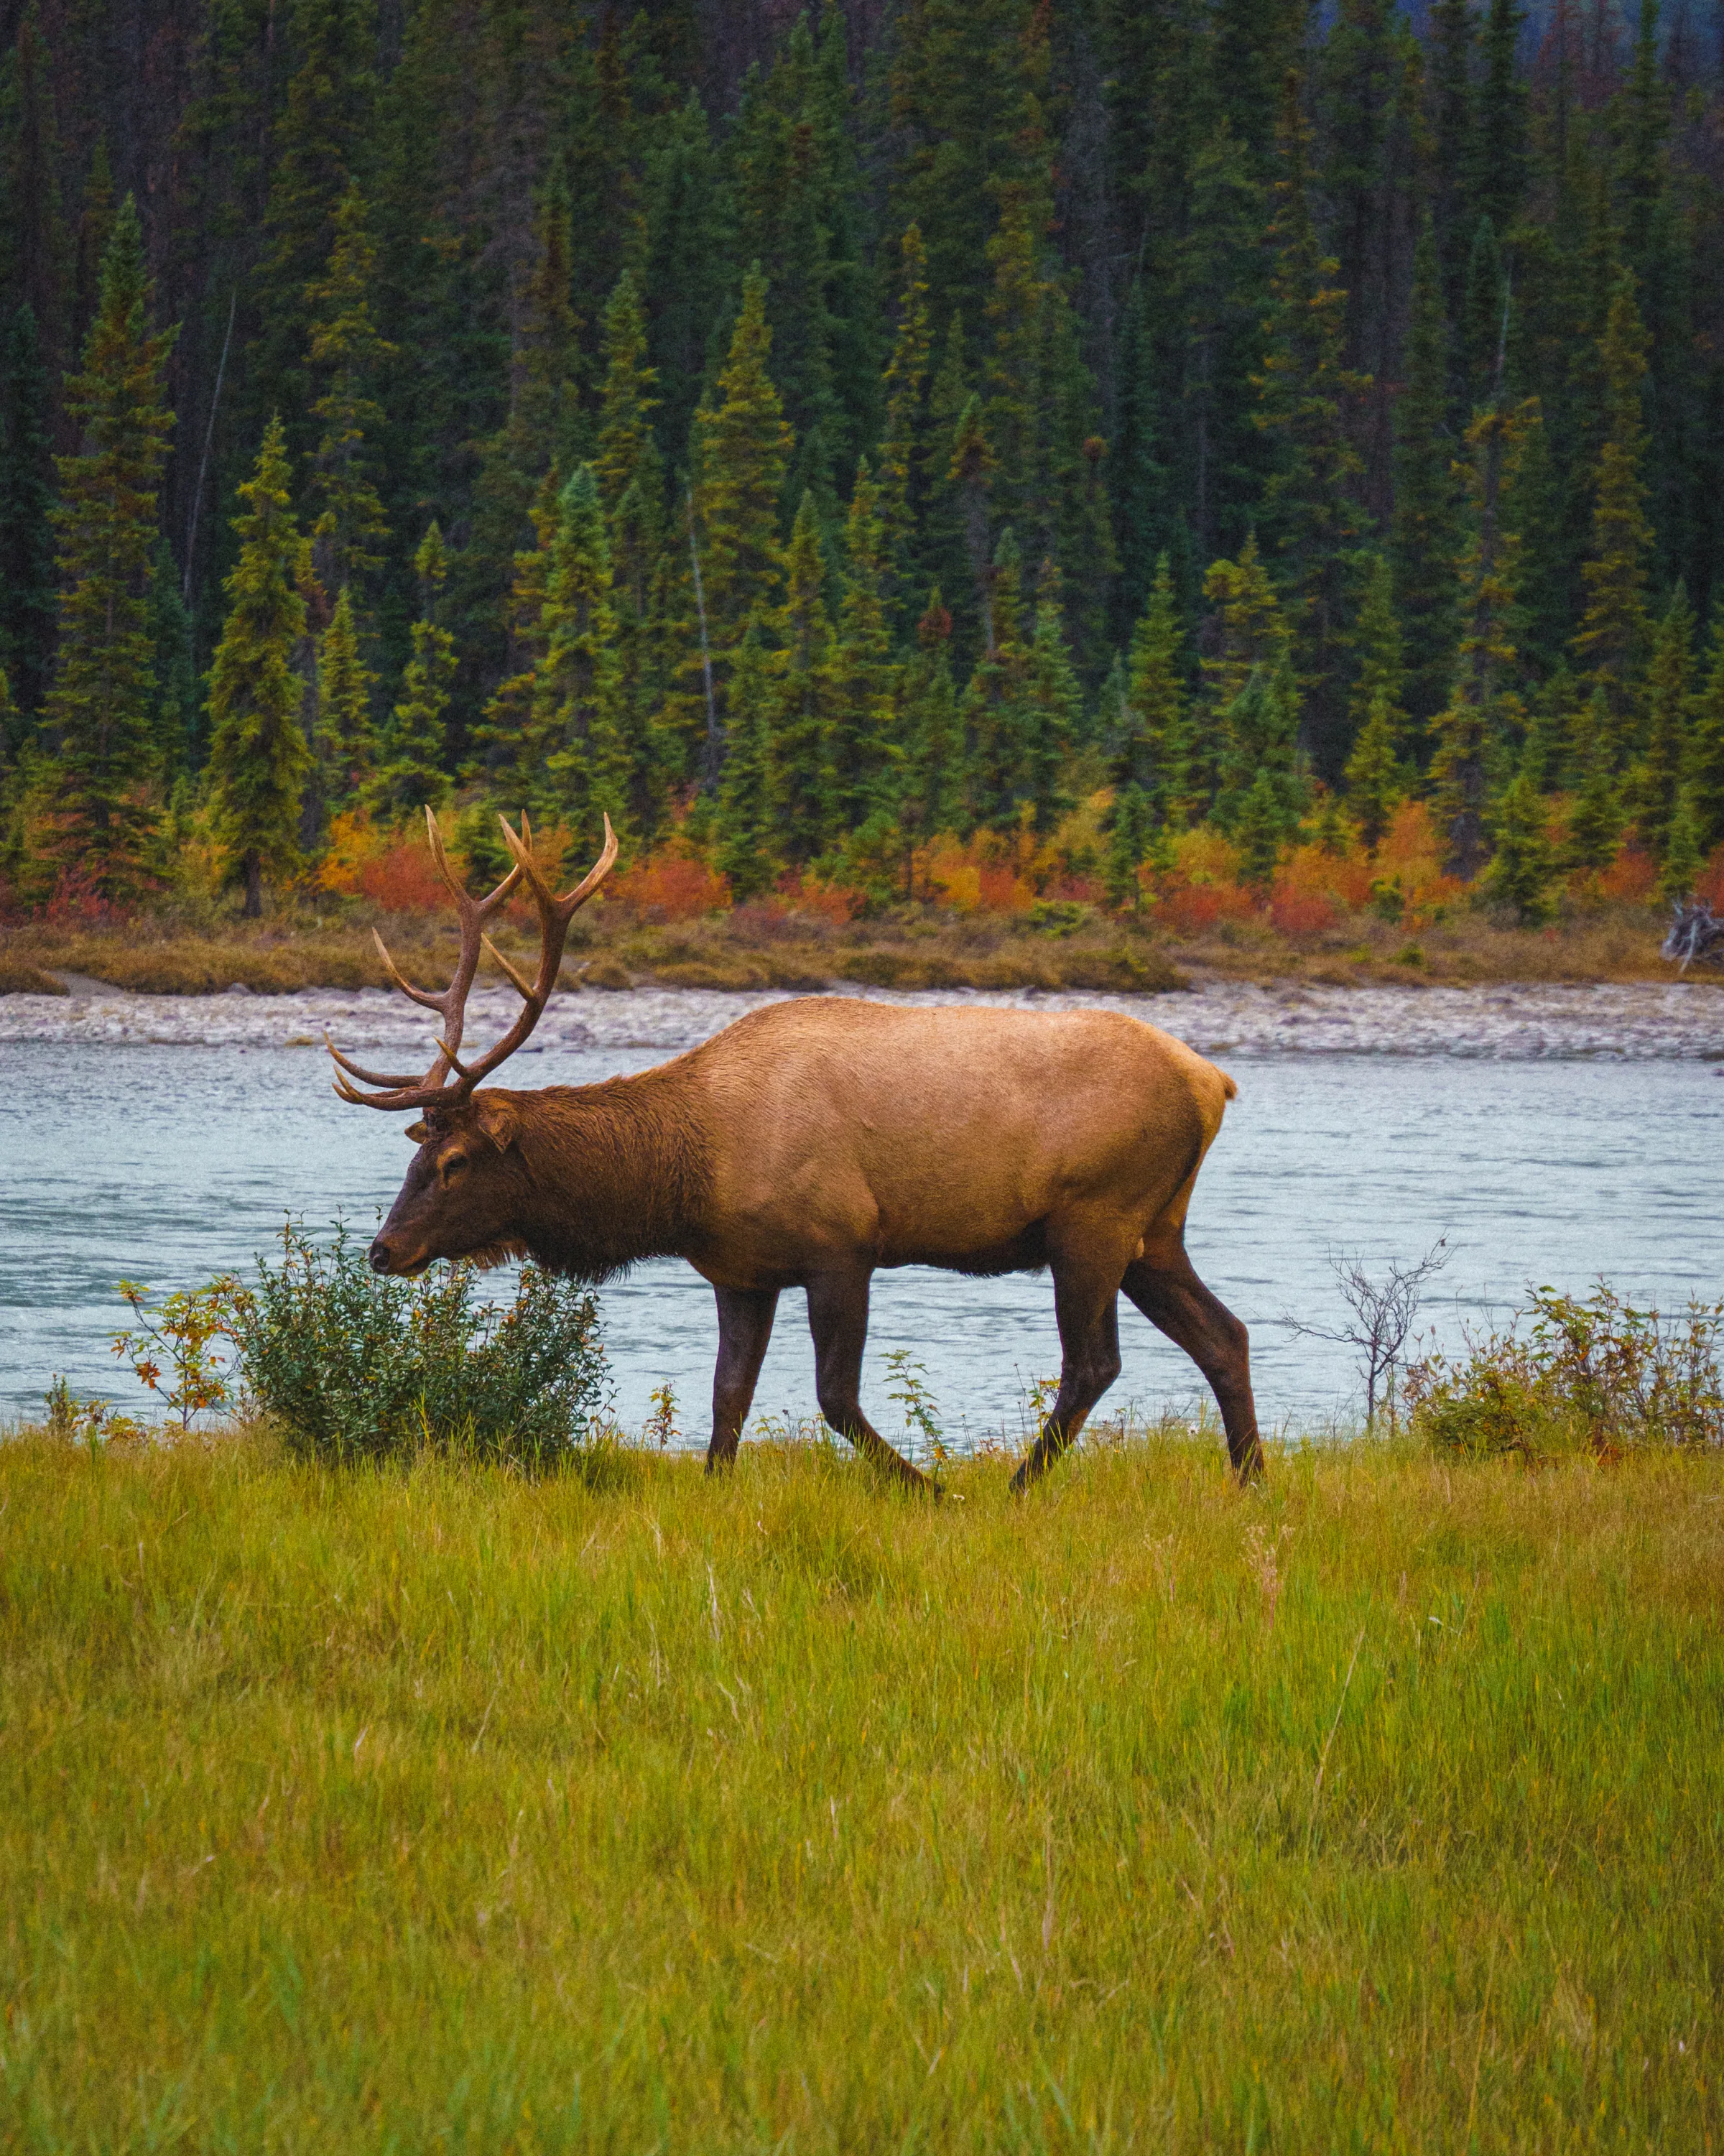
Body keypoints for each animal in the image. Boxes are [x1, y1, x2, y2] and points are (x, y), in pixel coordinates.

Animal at [329, 810, 1263, 1496]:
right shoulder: (740, 1271)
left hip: (1092, 1219)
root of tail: (1213, 1080)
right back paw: (1251, 1482)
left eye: (454, 1162)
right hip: (1154, 1230)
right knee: (1225, 1335)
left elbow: (835, 1397)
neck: (685, 1176)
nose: (384, 1249)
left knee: (1092, 1364)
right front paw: (717, 1488)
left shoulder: (842, 1244)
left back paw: (1017, 1489)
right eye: (415, 1156)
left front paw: (931, 1489)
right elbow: (726, 1400)